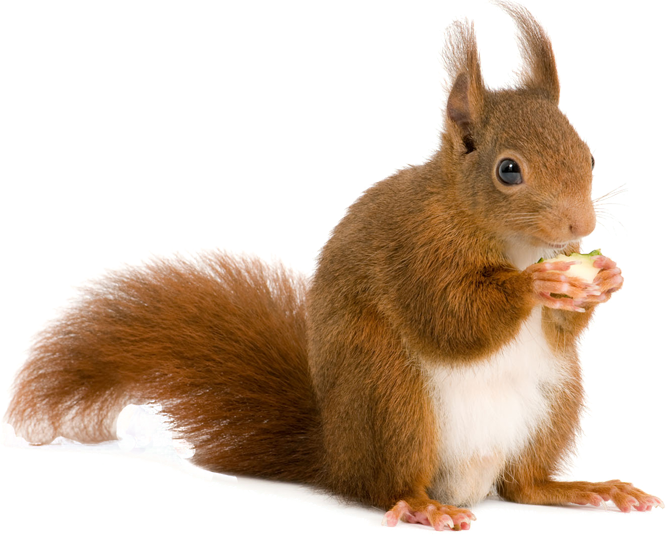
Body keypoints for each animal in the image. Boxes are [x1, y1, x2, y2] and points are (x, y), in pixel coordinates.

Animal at [4, 0, 664, 532]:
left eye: (585, 152)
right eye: (508, 170)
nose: (580, 226)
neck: (503, 236)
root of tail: (337, 457)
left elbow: (555, 334)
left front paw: (601, 282)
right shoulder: (416, 250)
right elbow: (450, 316)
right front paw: (538, 283)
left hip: (557, 400)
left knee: (521, 483)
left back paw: (581, 489)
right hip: (392, 400)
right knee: (388, 485)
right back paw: (421, 507)